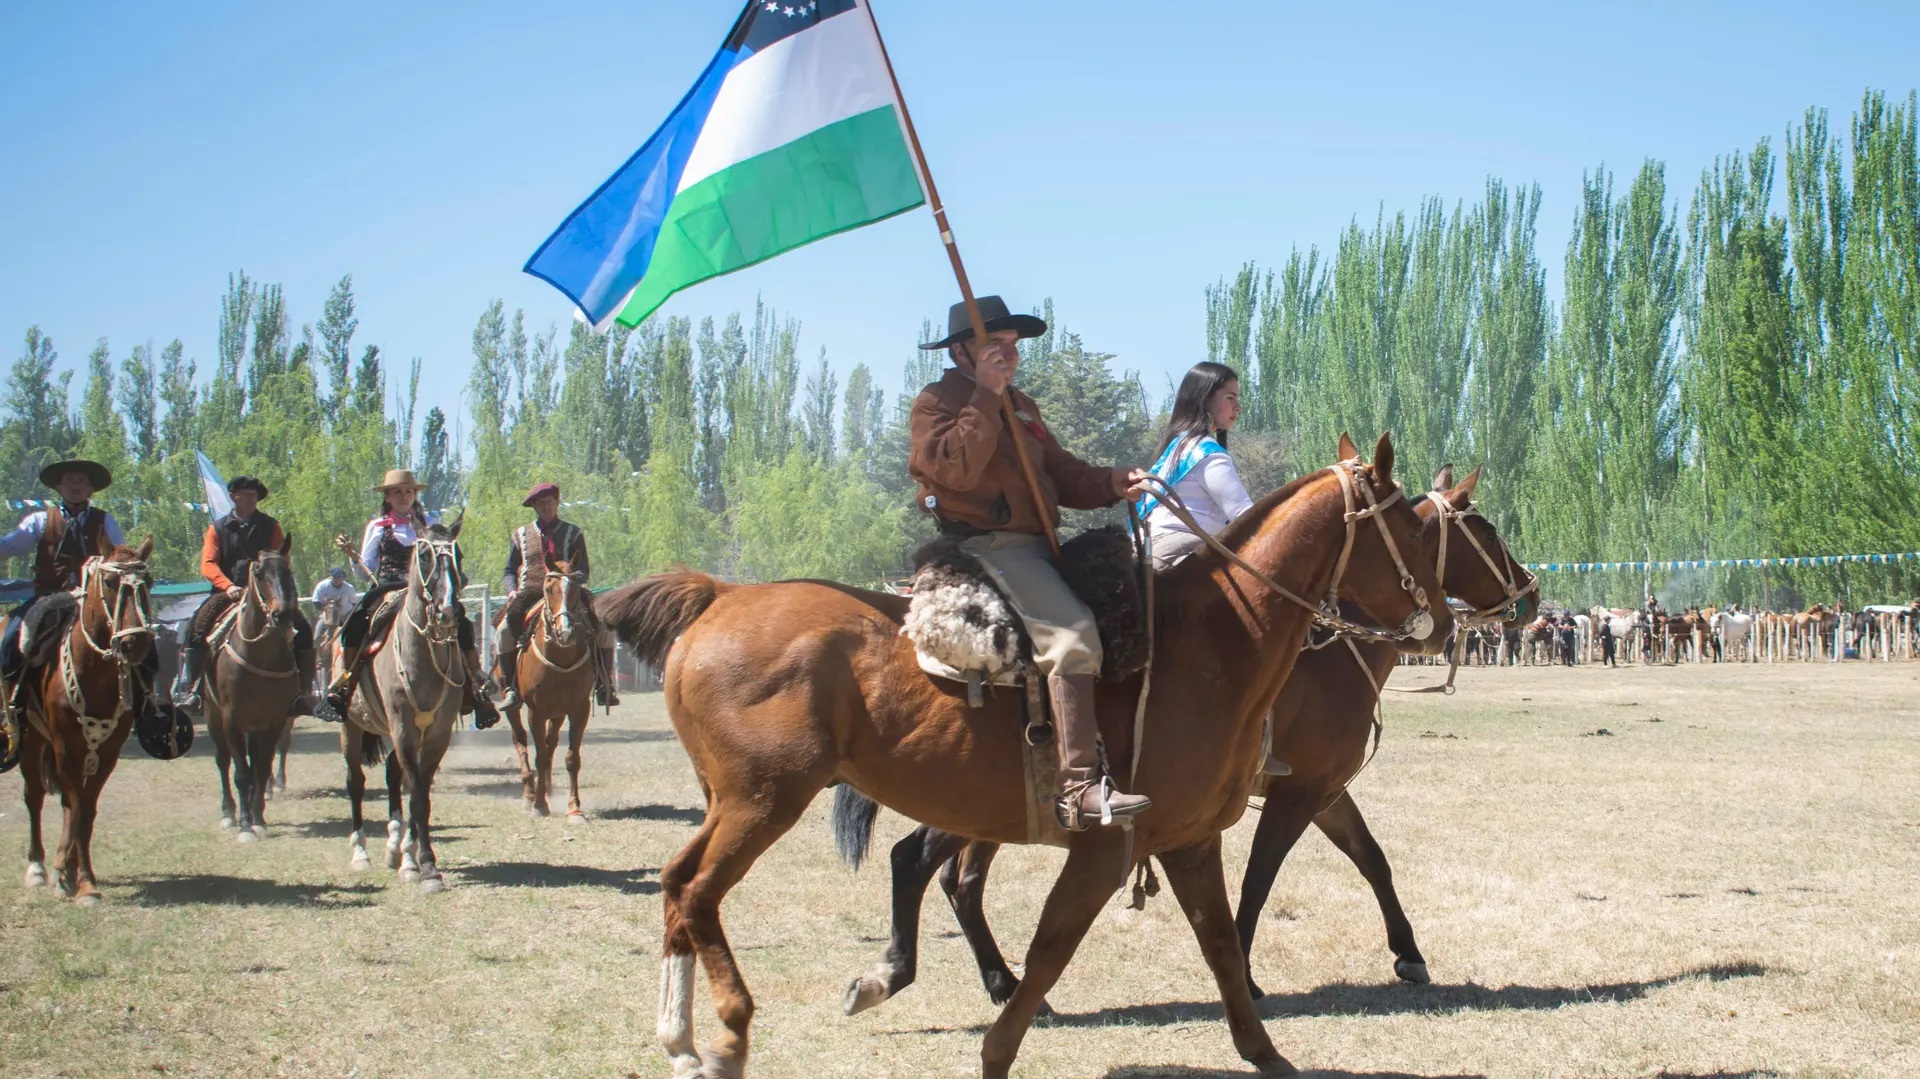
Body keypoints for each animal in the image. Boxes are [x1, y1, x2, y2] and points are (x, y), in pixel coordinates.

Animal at [11, 529, 157, 898]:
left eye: (147, 581)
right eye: (108, 581)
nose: (136, 642)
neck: (92, 672)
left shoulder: (107, 753)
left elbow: (85, 811)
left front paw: (82, 877)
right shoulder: (65, 748)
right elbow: (76, 807)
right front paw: (78, 881)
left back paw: (64, 866)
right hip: (32, 743)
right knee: (35, 796)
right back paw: (38, 867)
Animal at [204, 541, 301, 837]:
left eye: (288, 570)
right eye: (258, 572)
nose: (282, 614)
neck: (260, 658)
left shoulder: (273, 721)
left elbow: (260, 767)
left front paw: (258, 818)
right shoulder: (231, 720)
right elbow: (241, 772)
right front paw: (246, 824)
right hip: (213, 716)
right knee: (223, 761)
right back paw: (229, 812)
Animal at [499, 552, 595, 814]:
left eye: (575, 588)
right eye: (548, 588)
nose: (565, 633)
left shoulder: (579, 709)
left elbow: (571, 757)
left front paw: (575, 807)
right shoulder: (537, 711)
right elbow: (539, 755)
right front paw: (540, 805)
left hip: (558, 712)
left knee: (551, 745)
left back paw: (548, 789)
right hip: (513, 705)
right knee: (520, 739)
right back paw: (530, 793)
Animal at [599, 433, 1451, 1075]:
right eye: (1416, 526)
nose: (1443, 620)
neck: (1211, 641)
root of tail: (720, 595)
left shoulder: (1191, 840)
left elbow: (1219, 945)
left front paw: (1268, 1053)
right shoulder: (1111, 845)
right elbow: (1052, 948)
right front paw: (998, 1044)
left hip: (736, 800)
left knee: (679, 883)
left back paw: (683, 1037)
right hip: (764, 799)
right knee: (703, 890)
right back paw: (728, 1033)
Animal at [844, 462, 1543, 1006]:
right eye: (1483, 529)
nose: (1532, 596)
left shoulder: (1326, 791)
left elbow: (1372, 859)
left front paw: (1409, 953)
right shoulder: (1297, 793)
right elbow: (1260, 876)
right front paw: (1247, 978)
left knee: (955, 878)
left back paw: (1003, 984)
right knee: (922, 862)